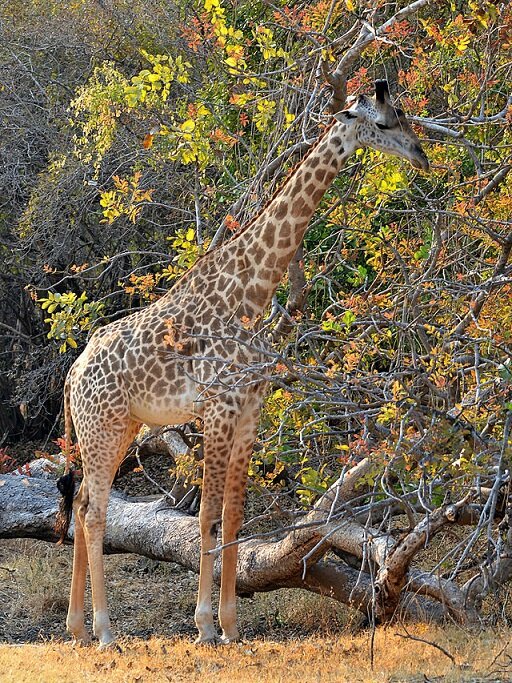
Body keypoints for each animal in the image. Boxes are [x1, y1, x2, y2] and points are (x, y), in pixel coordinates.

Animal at [57, 79, 428, 648]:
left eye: (405, 116)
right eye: (385, 123)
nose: (421, 155)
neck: (252, 291)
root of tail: (73, 374)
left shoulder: (250, 408)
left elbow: (234, 515)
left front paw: (231, 625)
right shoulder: (219, 408)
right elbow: (206, 515)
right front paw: (205, 625)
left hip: (119, 428)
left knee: (79, 506)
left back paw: (76, 627)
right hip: (102, 427)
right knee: (96, 513)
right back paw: (103, 631)